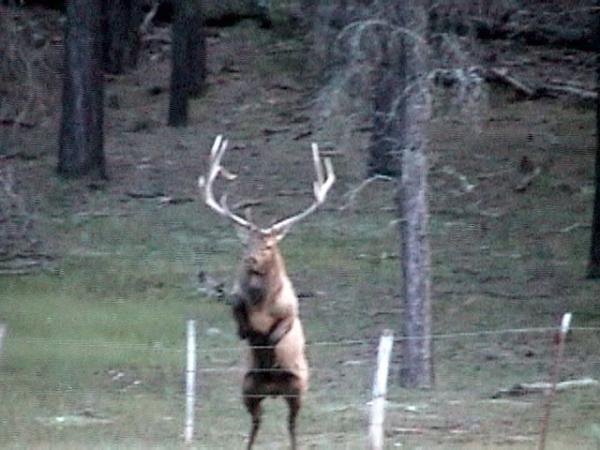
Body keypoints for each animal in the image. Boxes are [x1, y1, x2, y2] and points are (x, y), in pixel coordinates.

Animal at [199, 135, 336, 448]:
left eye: (269, 245)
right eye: (245, 243)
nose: (251, 259)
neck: (262, 305)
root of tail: (272, 390)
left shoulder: (291, 312)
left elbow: (280, 329)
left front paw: (269, 341)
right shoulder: (240, 311)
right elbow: (240, 318)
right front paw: (244, 320)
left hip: (298, 388)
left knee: (292, 426)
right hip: (248, 388)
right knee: (256, 424)